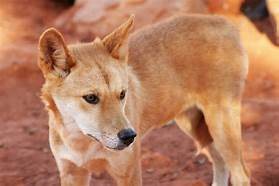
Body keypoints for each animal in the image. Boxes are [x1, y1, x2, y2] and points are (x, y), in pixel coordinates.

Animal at [38, 14, 250, 186]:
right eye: (91, 98)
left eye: (122, 94)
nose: (129, 136)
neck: (81, 142)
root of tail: (225, 22)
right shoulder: (72, 173)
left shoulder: (128, 173)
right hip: (195, 127)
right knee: (221, 163)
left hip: (220, 127)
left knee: (242, 175)